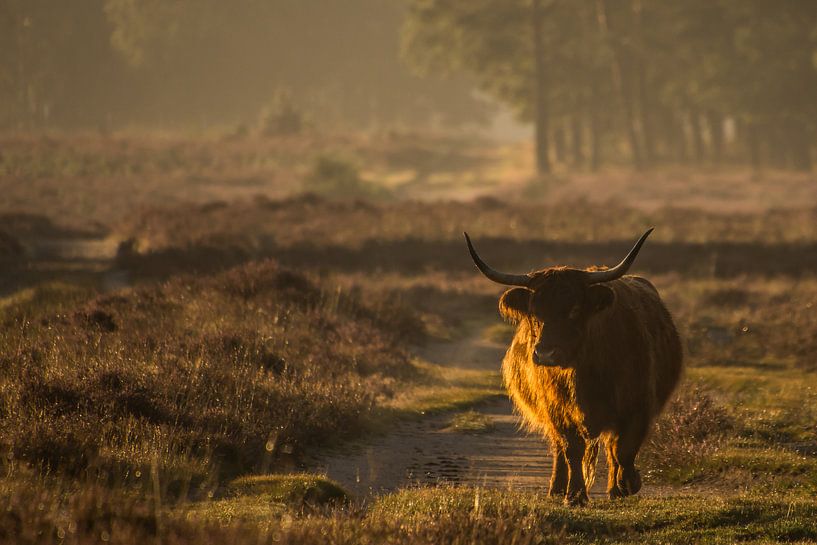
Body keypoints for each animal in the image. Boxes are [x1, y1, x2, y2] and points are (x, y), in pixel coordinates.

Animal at [466, 230, 684, 506]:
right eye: (534, 311)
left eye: (575, 309)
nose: (545, 354)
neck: (584, 372)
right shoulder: (558, 410)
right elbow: (572, 449)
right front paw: (576, 495)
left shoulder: (638, 406)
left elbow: (623, 450)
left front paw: (627, 484)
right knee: (559, 448)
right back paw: (557, 488)